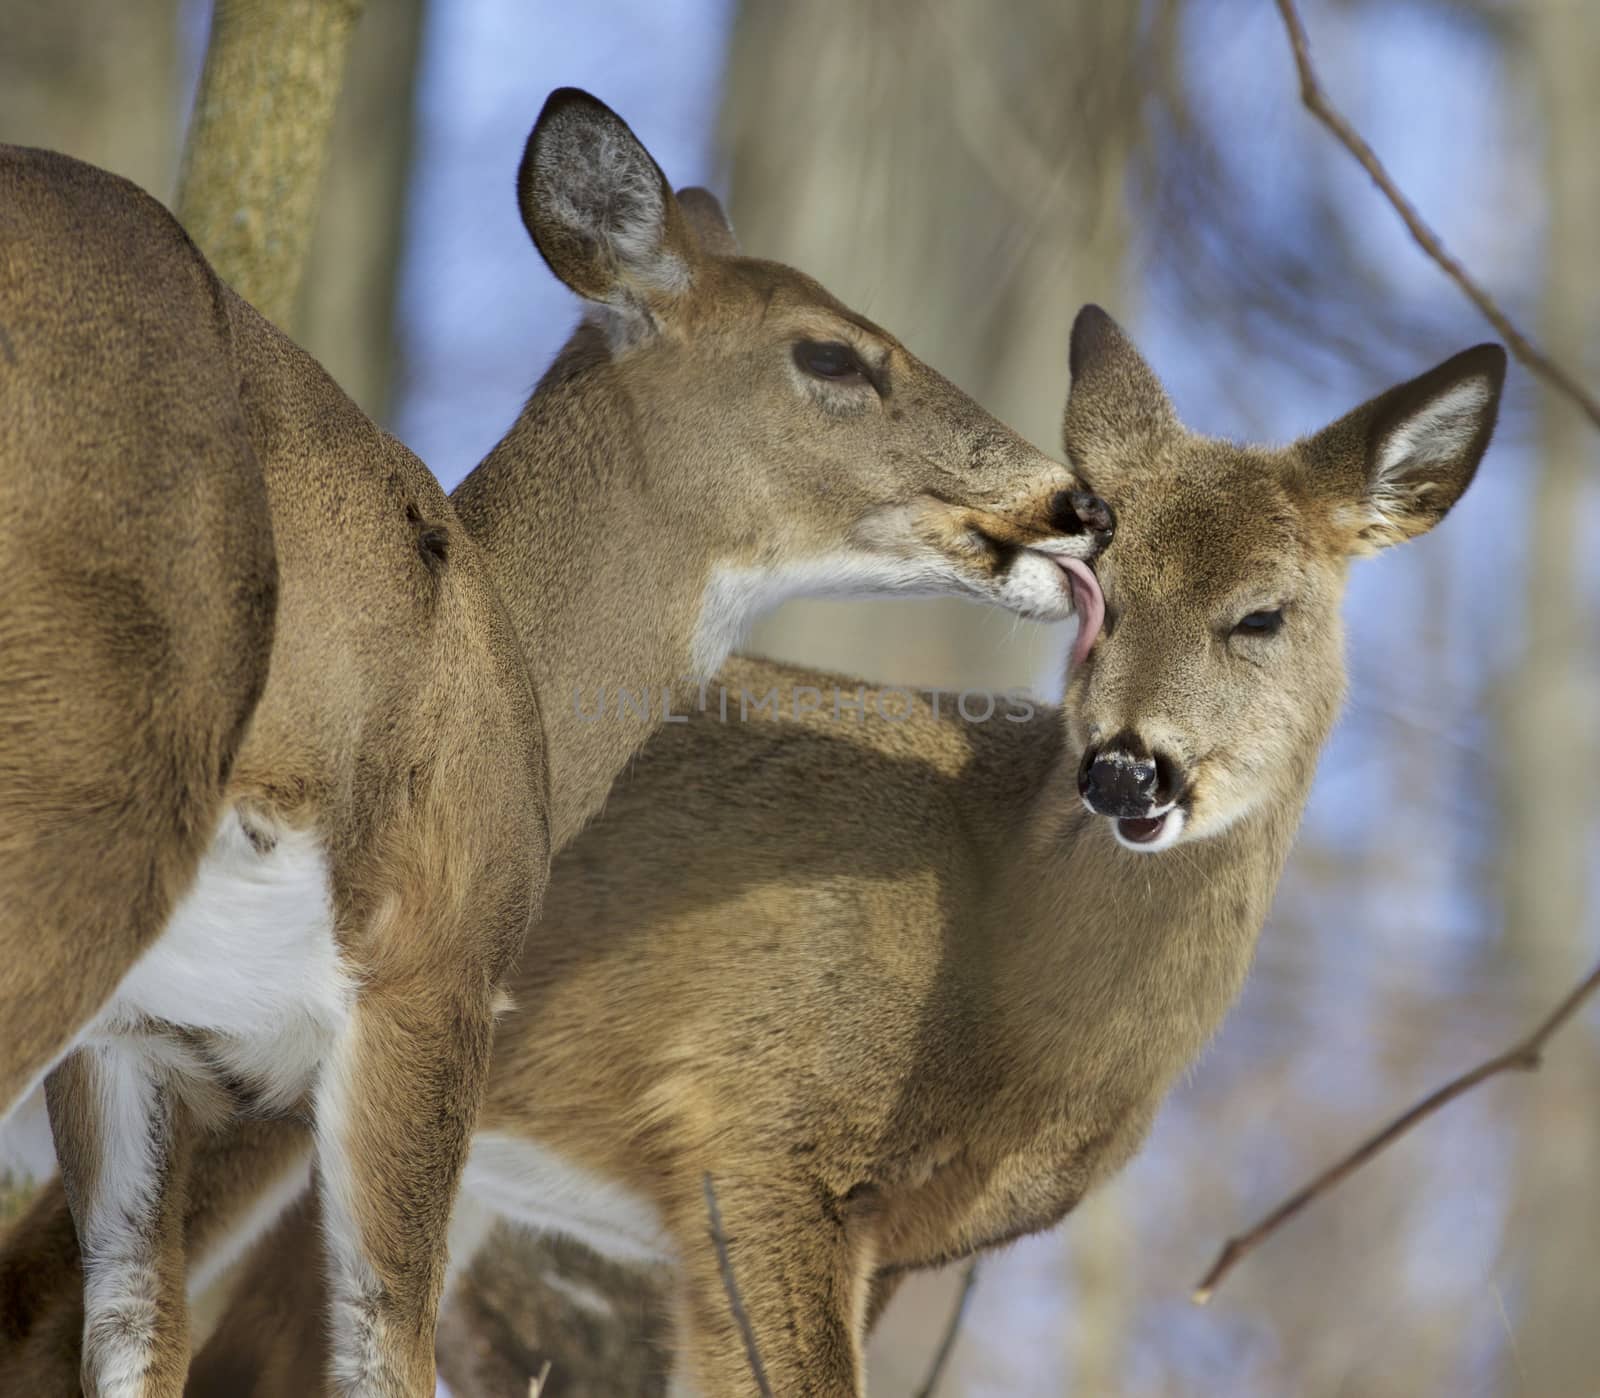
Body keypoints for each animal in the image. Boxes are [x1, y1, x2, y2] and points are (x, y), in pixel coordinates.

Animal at [0, 92, 1107, 1388]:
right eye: (830, 353)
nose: (1079, 505)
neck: (521, 674)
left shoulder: (141, 1038)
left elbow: (134, 1325)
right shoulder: (438, 967)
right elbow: (385, 1338)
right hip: (89, 775)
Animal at [116, 299, 1497, 1388]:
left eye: (1263, 615)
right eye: (1100, 598)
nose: (1122, 768)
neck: (1003, 990)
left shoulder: (894, 1245)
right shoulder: (758, 1133)